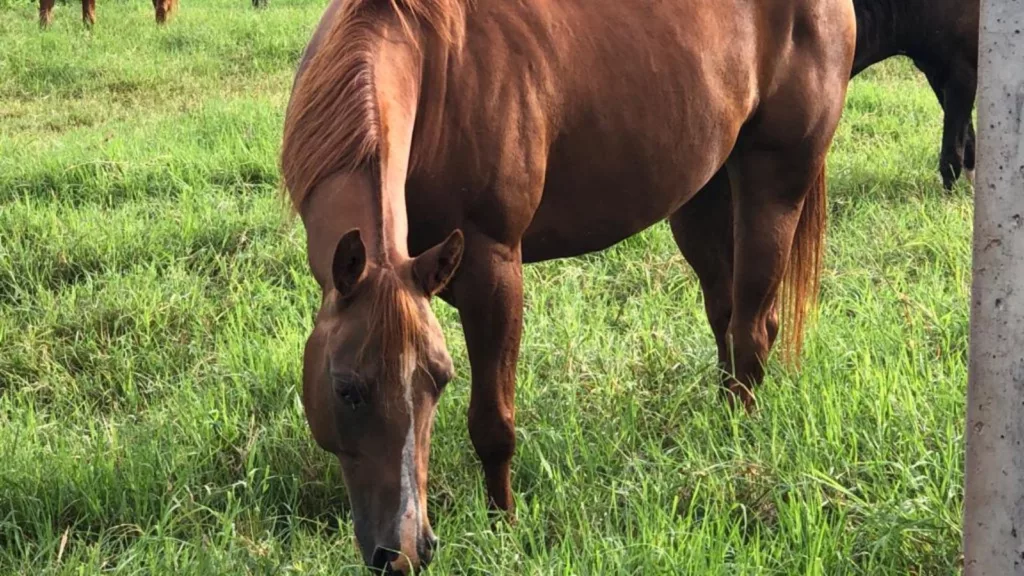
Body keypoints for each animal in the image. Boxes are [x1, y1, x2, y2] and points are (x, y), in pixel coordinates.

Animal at [280, 0, 856, 569]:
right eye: (346, 389)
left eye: (440, 380)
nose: (405, 551)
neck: (431, 63)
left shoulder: (492, 270)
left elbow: (493, 422)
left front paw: (504, 530)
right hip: (704, 194)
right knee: (729, 319)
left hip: (774, 186)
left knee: (752, 332)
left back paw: (734, 446)